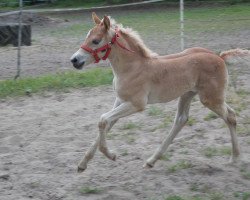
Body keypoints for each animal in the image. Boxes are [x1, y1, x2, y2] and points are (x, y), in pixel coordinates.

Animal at [70, 12, 250, 173]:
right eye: (87, 36)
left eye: (96, 40)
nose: (74, 60)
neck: (132, 67)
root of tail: (219, 56)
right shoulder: (120, 101)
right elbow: (106, 123)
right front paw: (82, 164)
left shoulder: (136, 104)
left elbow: (102, 120)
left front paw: (111, 155)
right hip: (188, 94)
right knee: (181, 120)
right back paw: (151, 161)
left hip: (211, 98)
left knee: (230, 117)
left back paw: (235, 158)